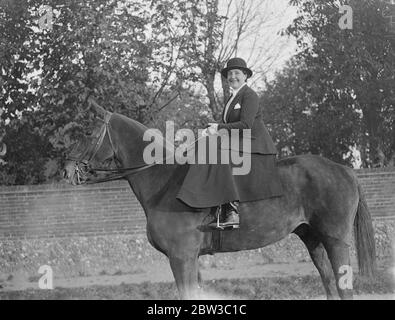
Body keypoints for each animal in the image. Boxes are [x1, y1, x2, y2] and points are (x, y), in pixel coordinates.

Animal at [64, 102, 378, 300]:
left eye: (87, 132)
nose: (66, 171)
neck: (163, 179)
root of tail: (344, 169)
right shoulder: (190, 259)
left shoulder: (181, 257)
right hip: (313, 239)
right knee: (330, 285)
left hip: (335, 240)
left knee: (344, 287)